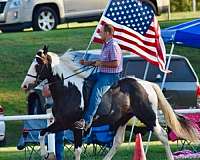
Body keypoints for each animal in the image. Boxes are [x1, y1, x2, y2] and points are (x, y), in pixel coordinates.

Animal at [21, 47, 199, 160]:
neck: (69, 90)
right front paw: (45, 154)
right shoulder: (62, 123)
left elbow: (77, 151)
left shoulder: (77, 127)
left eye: (37, 64)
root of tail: (148, 84)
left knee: (162, 136)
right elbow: (42, 133)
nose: (24, 85)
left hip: (148, 116)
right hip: (122, 120)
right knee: (117, 142)